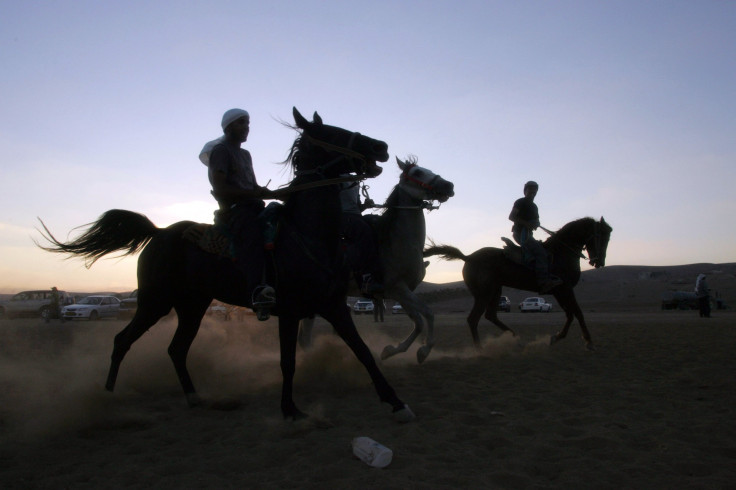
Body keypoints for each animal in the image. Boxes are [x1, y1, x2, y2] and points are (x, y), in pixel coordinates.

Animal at [300, 157, 454, 364]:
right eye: (418, 173)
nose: (448, 186)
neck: (397, 242)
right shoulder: (398, 287)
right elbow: (428, 313)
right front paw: (423, 350)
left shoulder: (401, 292)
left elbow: (418, 320)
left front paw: (390, 350)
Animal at [422, 217, 612, 348]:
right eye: (602, 236)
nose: (599, 262)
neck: (561, 252)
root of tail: (468, 257)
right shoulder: (565, 290)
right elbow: (577, 313)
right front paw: (588, 341)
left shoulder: (560, 291)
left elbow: (570, 314)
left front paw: (556, 337)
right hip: (484, 294)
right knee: (473, 319)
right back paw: (480, 349)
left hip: (495, 291)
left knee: (490, 315)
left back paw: (516, 338)